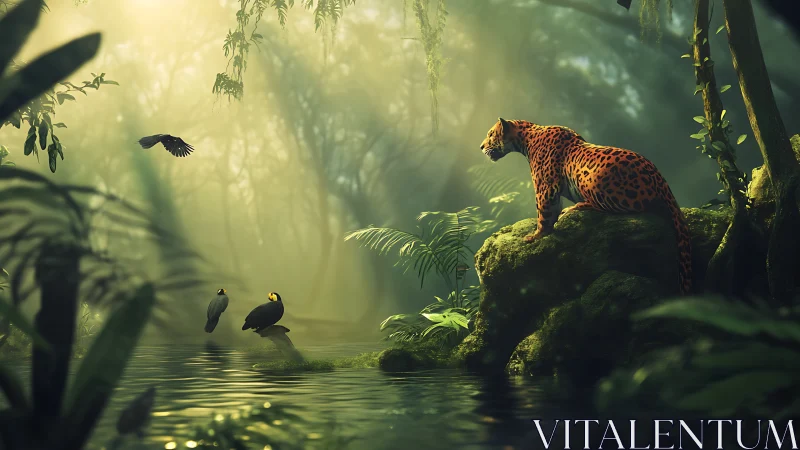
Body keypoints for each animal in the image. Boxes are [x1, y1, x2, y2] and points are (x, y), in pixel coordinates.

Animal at [479, 118, 693, 295]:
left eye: (490, 134)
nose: (481, 146)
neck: (526, 137)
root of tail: (660, 179)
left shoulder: (545, 188)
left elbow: (544, 213)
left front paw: (536, 235)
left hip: (592, 179)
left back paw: (576, 207)